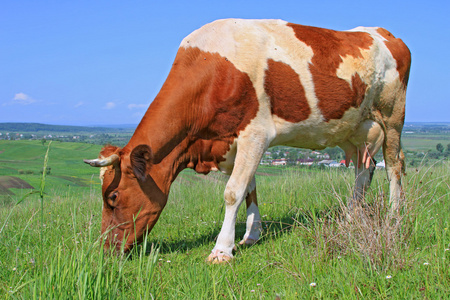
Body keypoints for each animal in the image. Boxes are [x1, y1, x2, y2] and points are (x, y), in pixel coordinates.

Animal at [84, 18, 412, 262]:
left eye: (113, 197)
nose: (105, 250)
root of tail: (384, 33)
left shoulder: (256, 133)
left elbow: (233, 192)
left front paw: (221, 250)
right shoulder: (232, 143)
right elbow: (250, 189)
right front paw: (251, 236)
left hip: (392, 116)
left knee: (394, 165)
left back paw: (394, 215)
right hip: (354, 130)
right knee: (363, 168)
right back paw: (351, 216)